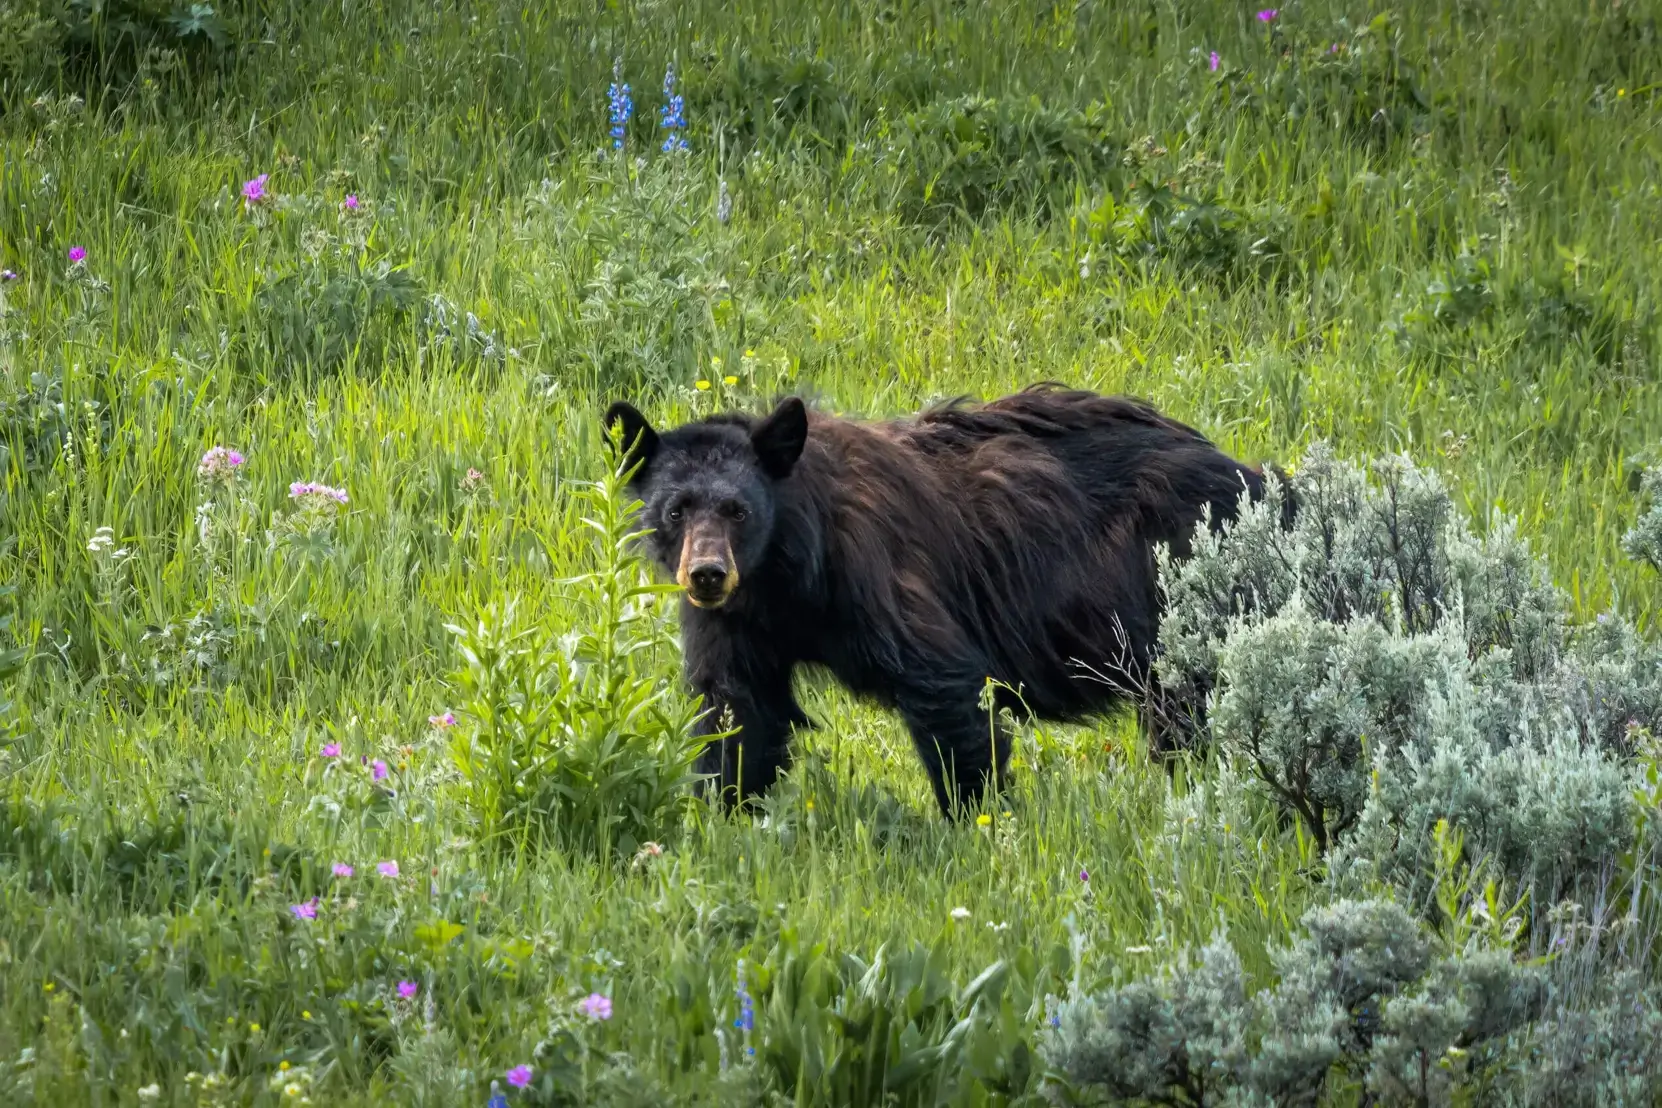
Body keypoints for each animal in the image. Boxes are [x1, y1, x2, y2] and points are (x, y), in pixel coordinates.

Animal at [603, 384, 1275, 818]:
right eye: (676, 509)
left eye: (738, 509)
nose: (707, 574)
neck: (788, 574)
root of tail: (1259, 477)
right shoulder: (739, 623)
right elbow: (736, 708)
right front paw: (726, 814)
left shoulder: (877, 576)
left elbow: (941, 682)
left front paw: (976, 819)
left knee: (1186, 700)